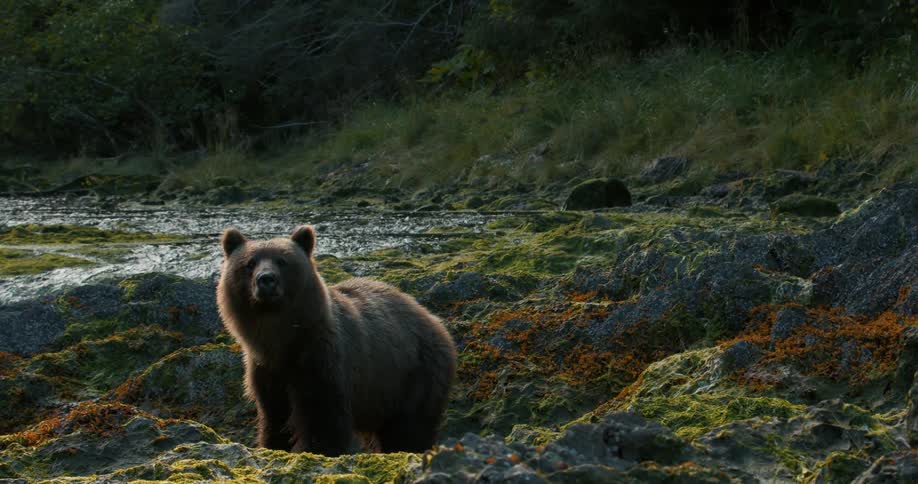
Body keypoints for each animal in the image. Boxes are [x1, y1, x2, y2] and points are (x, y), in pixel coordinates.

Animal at [216, 225, 457, 456]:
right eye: (249, 263)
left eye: (282, 261)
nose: (266, 279)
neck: (282, 339)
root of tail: (433, 320)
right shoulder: (266, 369)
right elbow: (275, 415)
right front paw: (272, 445)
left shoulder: (323, 358)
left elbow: (323, 415)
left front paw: (318, 449)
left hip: (412, 374)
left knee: (409, 427)